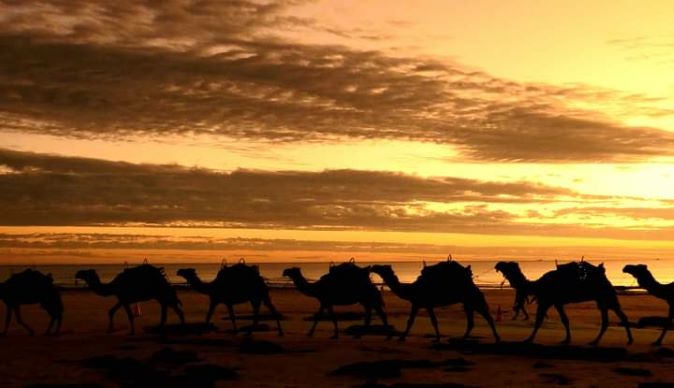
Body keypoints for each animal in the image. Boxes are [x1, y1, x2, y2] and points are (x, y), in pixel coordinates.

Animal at [368, 260, 498, 342]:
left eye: (383, 267)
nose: (374, 266)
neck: (412, 289)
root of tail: (474, 286)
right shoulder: (425, 305)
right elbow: (432, 321)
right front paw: (438, 338)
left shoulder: (418, 303)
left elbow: (412, 321)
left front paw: (402, 338)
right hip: (468, 303)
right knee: (472, 322)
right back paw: (463, 338)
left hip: (474, 300)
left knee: (488, 317)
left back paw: (497, 338)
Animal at [494, 260, 632, 346]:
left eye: (508, 265)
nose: (497, 264)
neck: (537, 285)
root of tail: (605, 278)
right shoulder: (557, 302)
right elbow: (565, 320)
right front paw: (567, 339)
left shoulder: (546, 301)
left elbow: (539, 321)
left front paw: (528, 339)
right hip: (603, 299)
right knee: (612, 319)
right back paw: (600, 341)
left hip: (606, 296)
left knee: (616, 318)